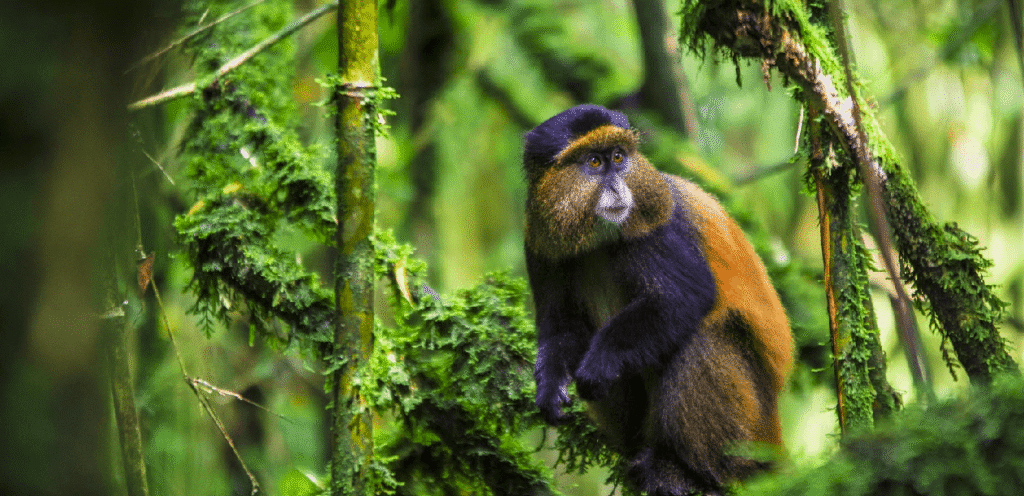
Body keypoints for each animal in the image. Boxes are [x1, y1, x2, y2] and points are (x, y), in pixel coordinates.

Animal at [523, 104, 793, 495]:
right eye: (594, 162)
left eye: (618, 158)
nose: (618, 186)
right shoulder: (540, 243)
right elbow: (561, 325)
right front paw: (549, 387)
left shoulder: (655, 226)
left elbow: (683, 298)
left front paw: (599, 364)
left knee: (702, 339)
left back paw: (692, 472)